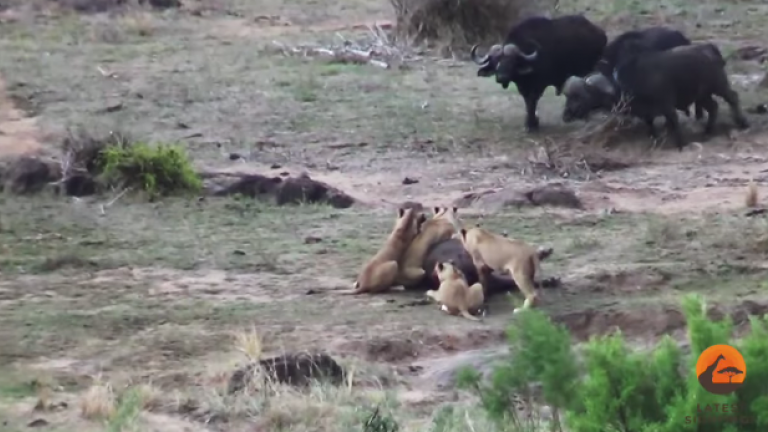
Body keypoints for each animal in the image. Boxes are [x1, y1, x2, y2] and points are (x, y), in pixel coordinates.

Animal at [471, 15, 607, 132]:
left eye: (512, 61)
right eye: (495, 62)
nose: (501, 77)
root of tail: (600, 33)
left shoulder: (538, 85)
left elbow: (532, 102)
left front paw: (532, 124)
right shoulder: (524, 87)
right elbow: (527, 102)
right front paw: (531, 122)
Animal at [561, 42, 749, 149]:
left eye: (579, 96)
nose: (566, 115)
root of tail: (710, 49)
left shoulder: (666, 105)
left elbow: (674, 121)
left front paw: (680, 143)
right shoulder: (647, 112)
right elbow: (650, 124)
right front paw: (656, 137)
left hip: (719, 85)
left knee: (733, 97)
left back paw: (742, 122)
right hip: (702, 95)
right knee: (713, 107)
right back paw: (708, 131)